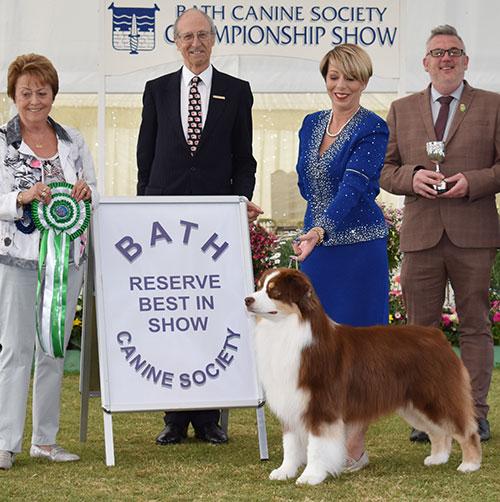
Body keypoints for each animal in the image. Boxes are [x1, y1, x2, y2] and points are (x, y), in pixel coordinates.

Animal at [244, 268, 482, 484]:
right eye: (260, 286)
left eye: (274, 291)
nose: (247, 299)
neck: (288, 331)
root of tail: (439, 336)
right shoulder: (291, 403)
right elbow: (291, 445)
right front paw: (284, 472)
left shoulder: (321, 407)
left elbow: (317, 447)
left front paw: (311, 476)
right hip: (415, 405)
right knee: (439, 432)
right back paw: (438, 458)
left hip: (436, 396)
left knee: (466, 429)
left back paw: (470, 464)